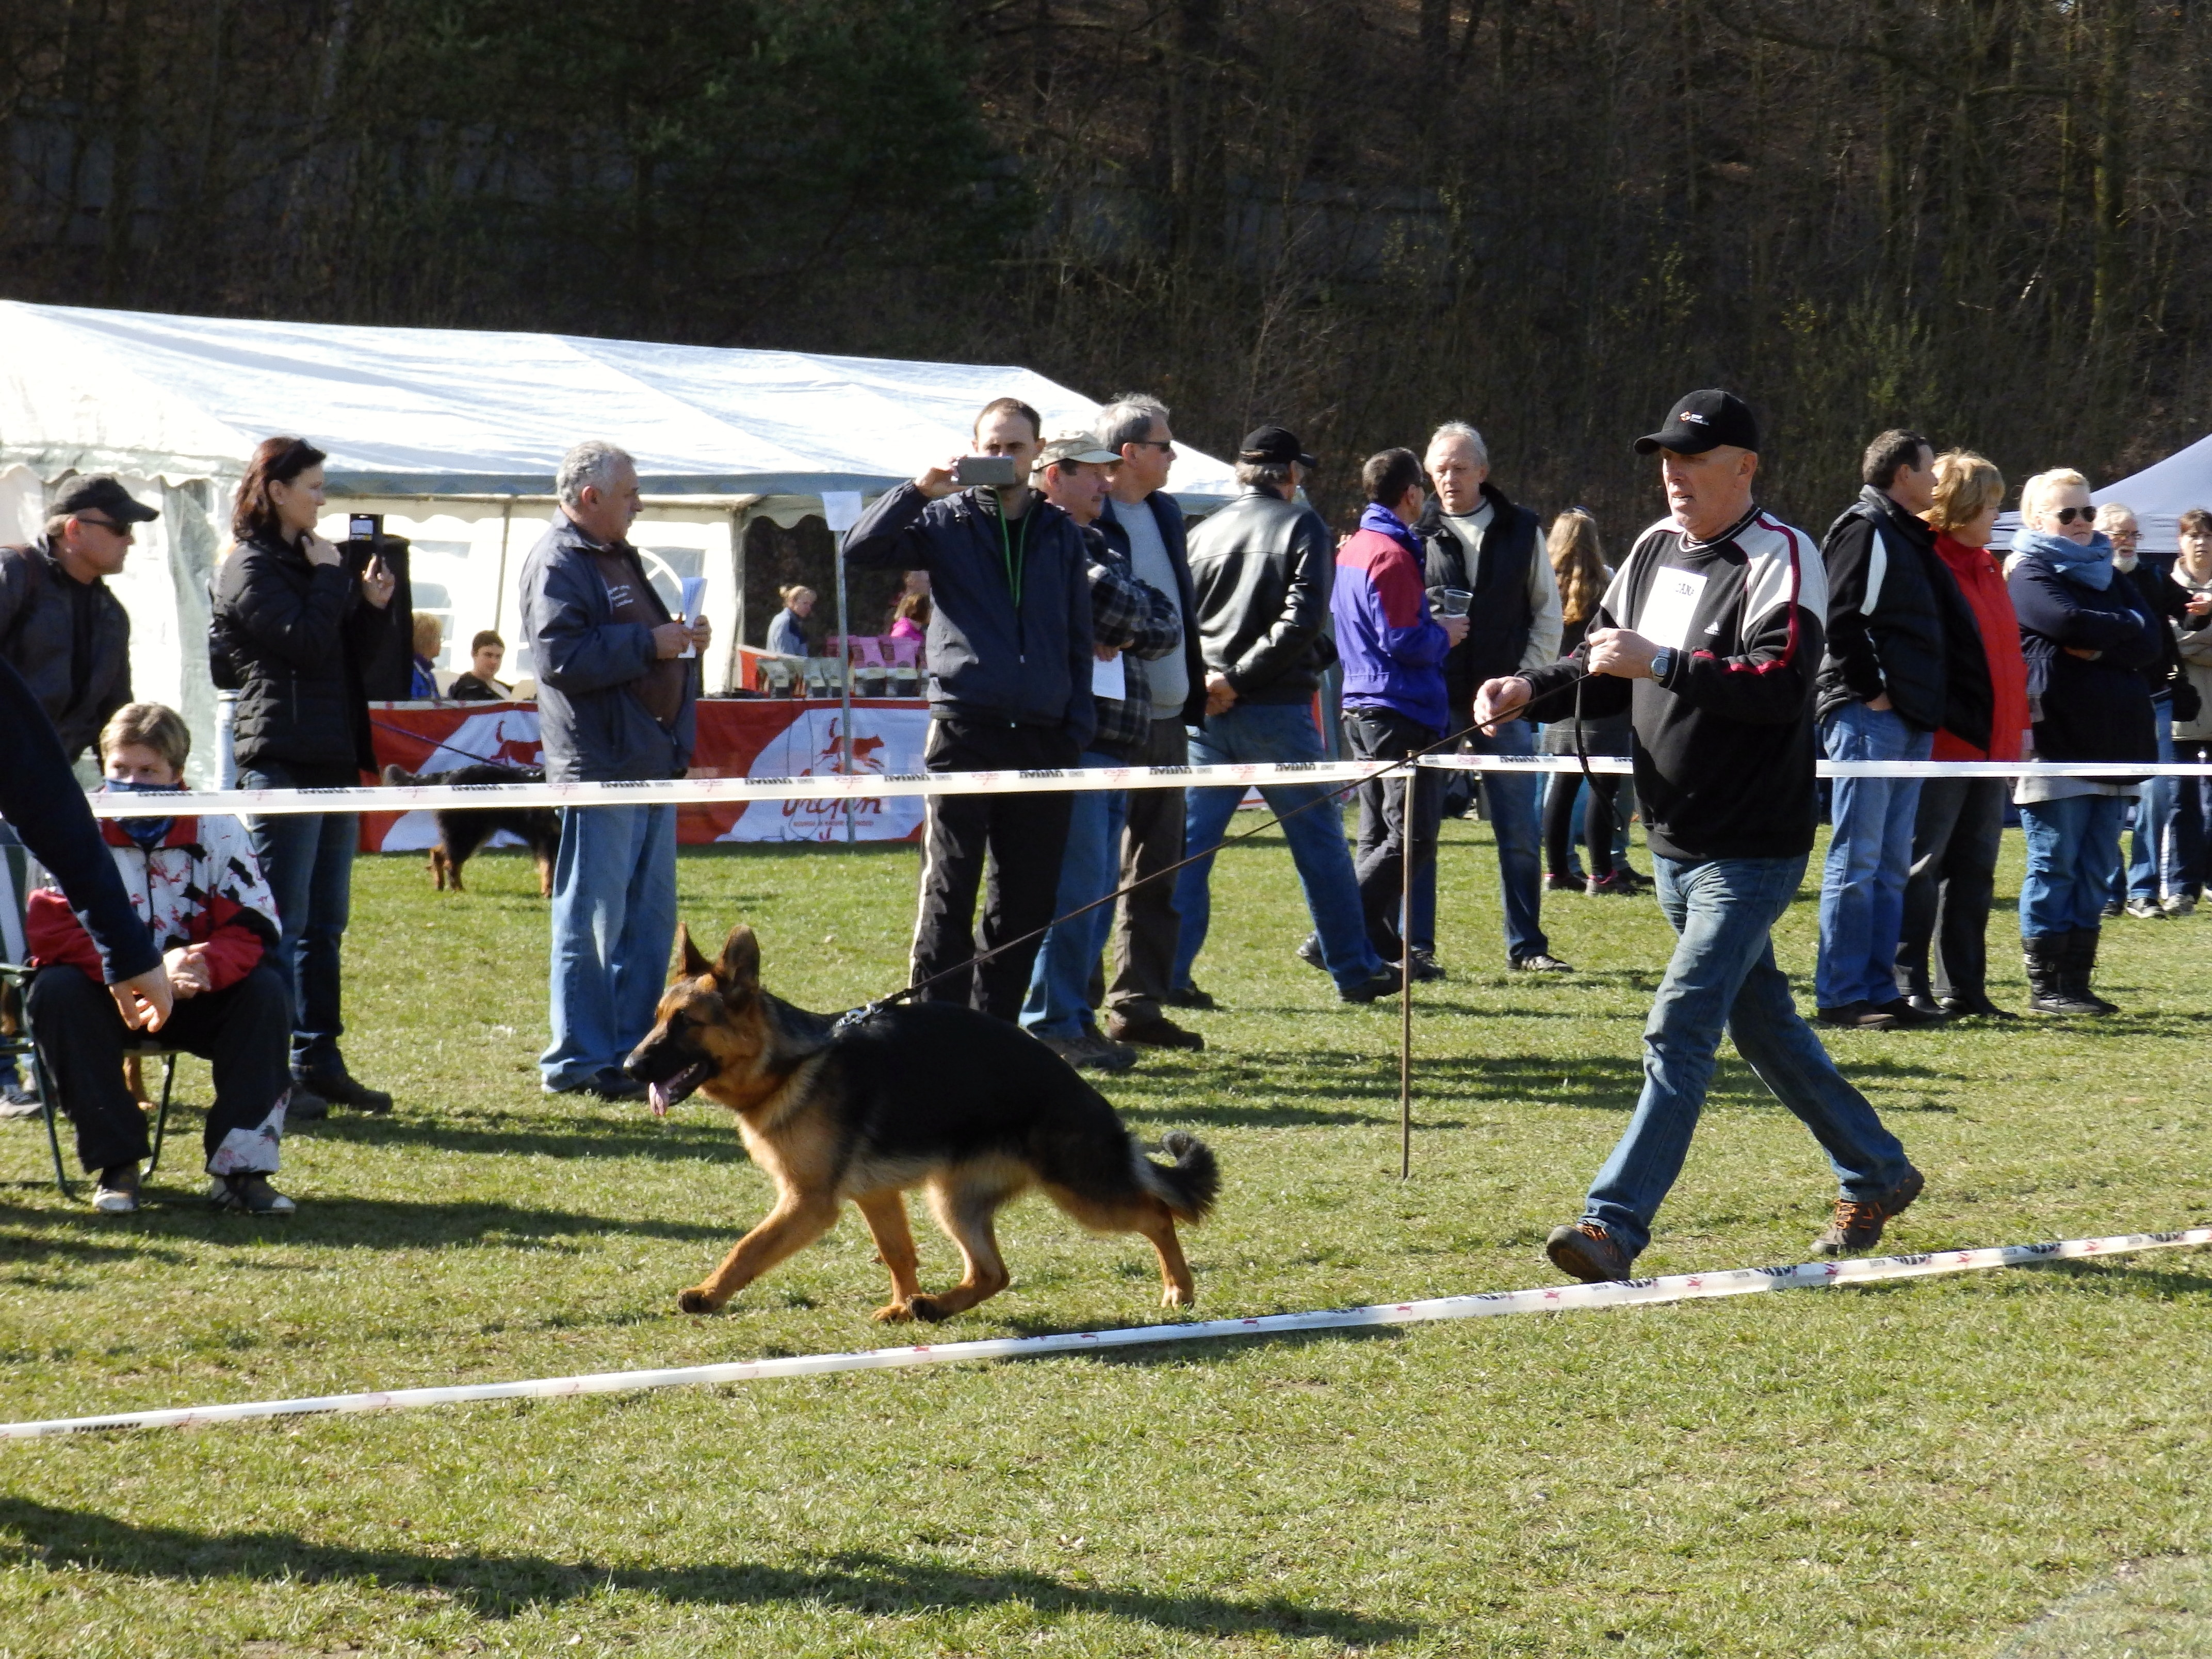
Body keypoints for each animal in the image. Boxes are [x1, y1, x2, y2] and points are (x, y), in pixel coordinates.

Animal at [378, 765, 557, 898]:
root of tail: (446, 776)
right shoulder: (546, 836)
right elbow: (549, 868)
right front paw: (548, 892)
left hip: (473, 833)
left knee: (439, 853)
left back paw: (441, 885)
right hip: (469, 833)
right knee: (451, 862)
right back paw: (458, 890)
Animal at [628, 924, 1230, 1327]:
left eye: (685, 1023)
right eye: (656, 1020)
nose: (630, 1068)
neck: (789, 1064)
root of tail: (1085, 1092)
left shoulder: (809, 1203)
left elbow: (748, 1248)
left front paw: (708, 1294)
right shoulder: (876, 1195)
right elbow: (898, 1253)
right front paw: (900, 1302)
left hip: (1081, 1192)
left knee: (1156, 1215)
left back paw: (1179, 1289)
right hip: (953, 1198)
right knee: (993, 1274)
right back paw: (932, 1307)